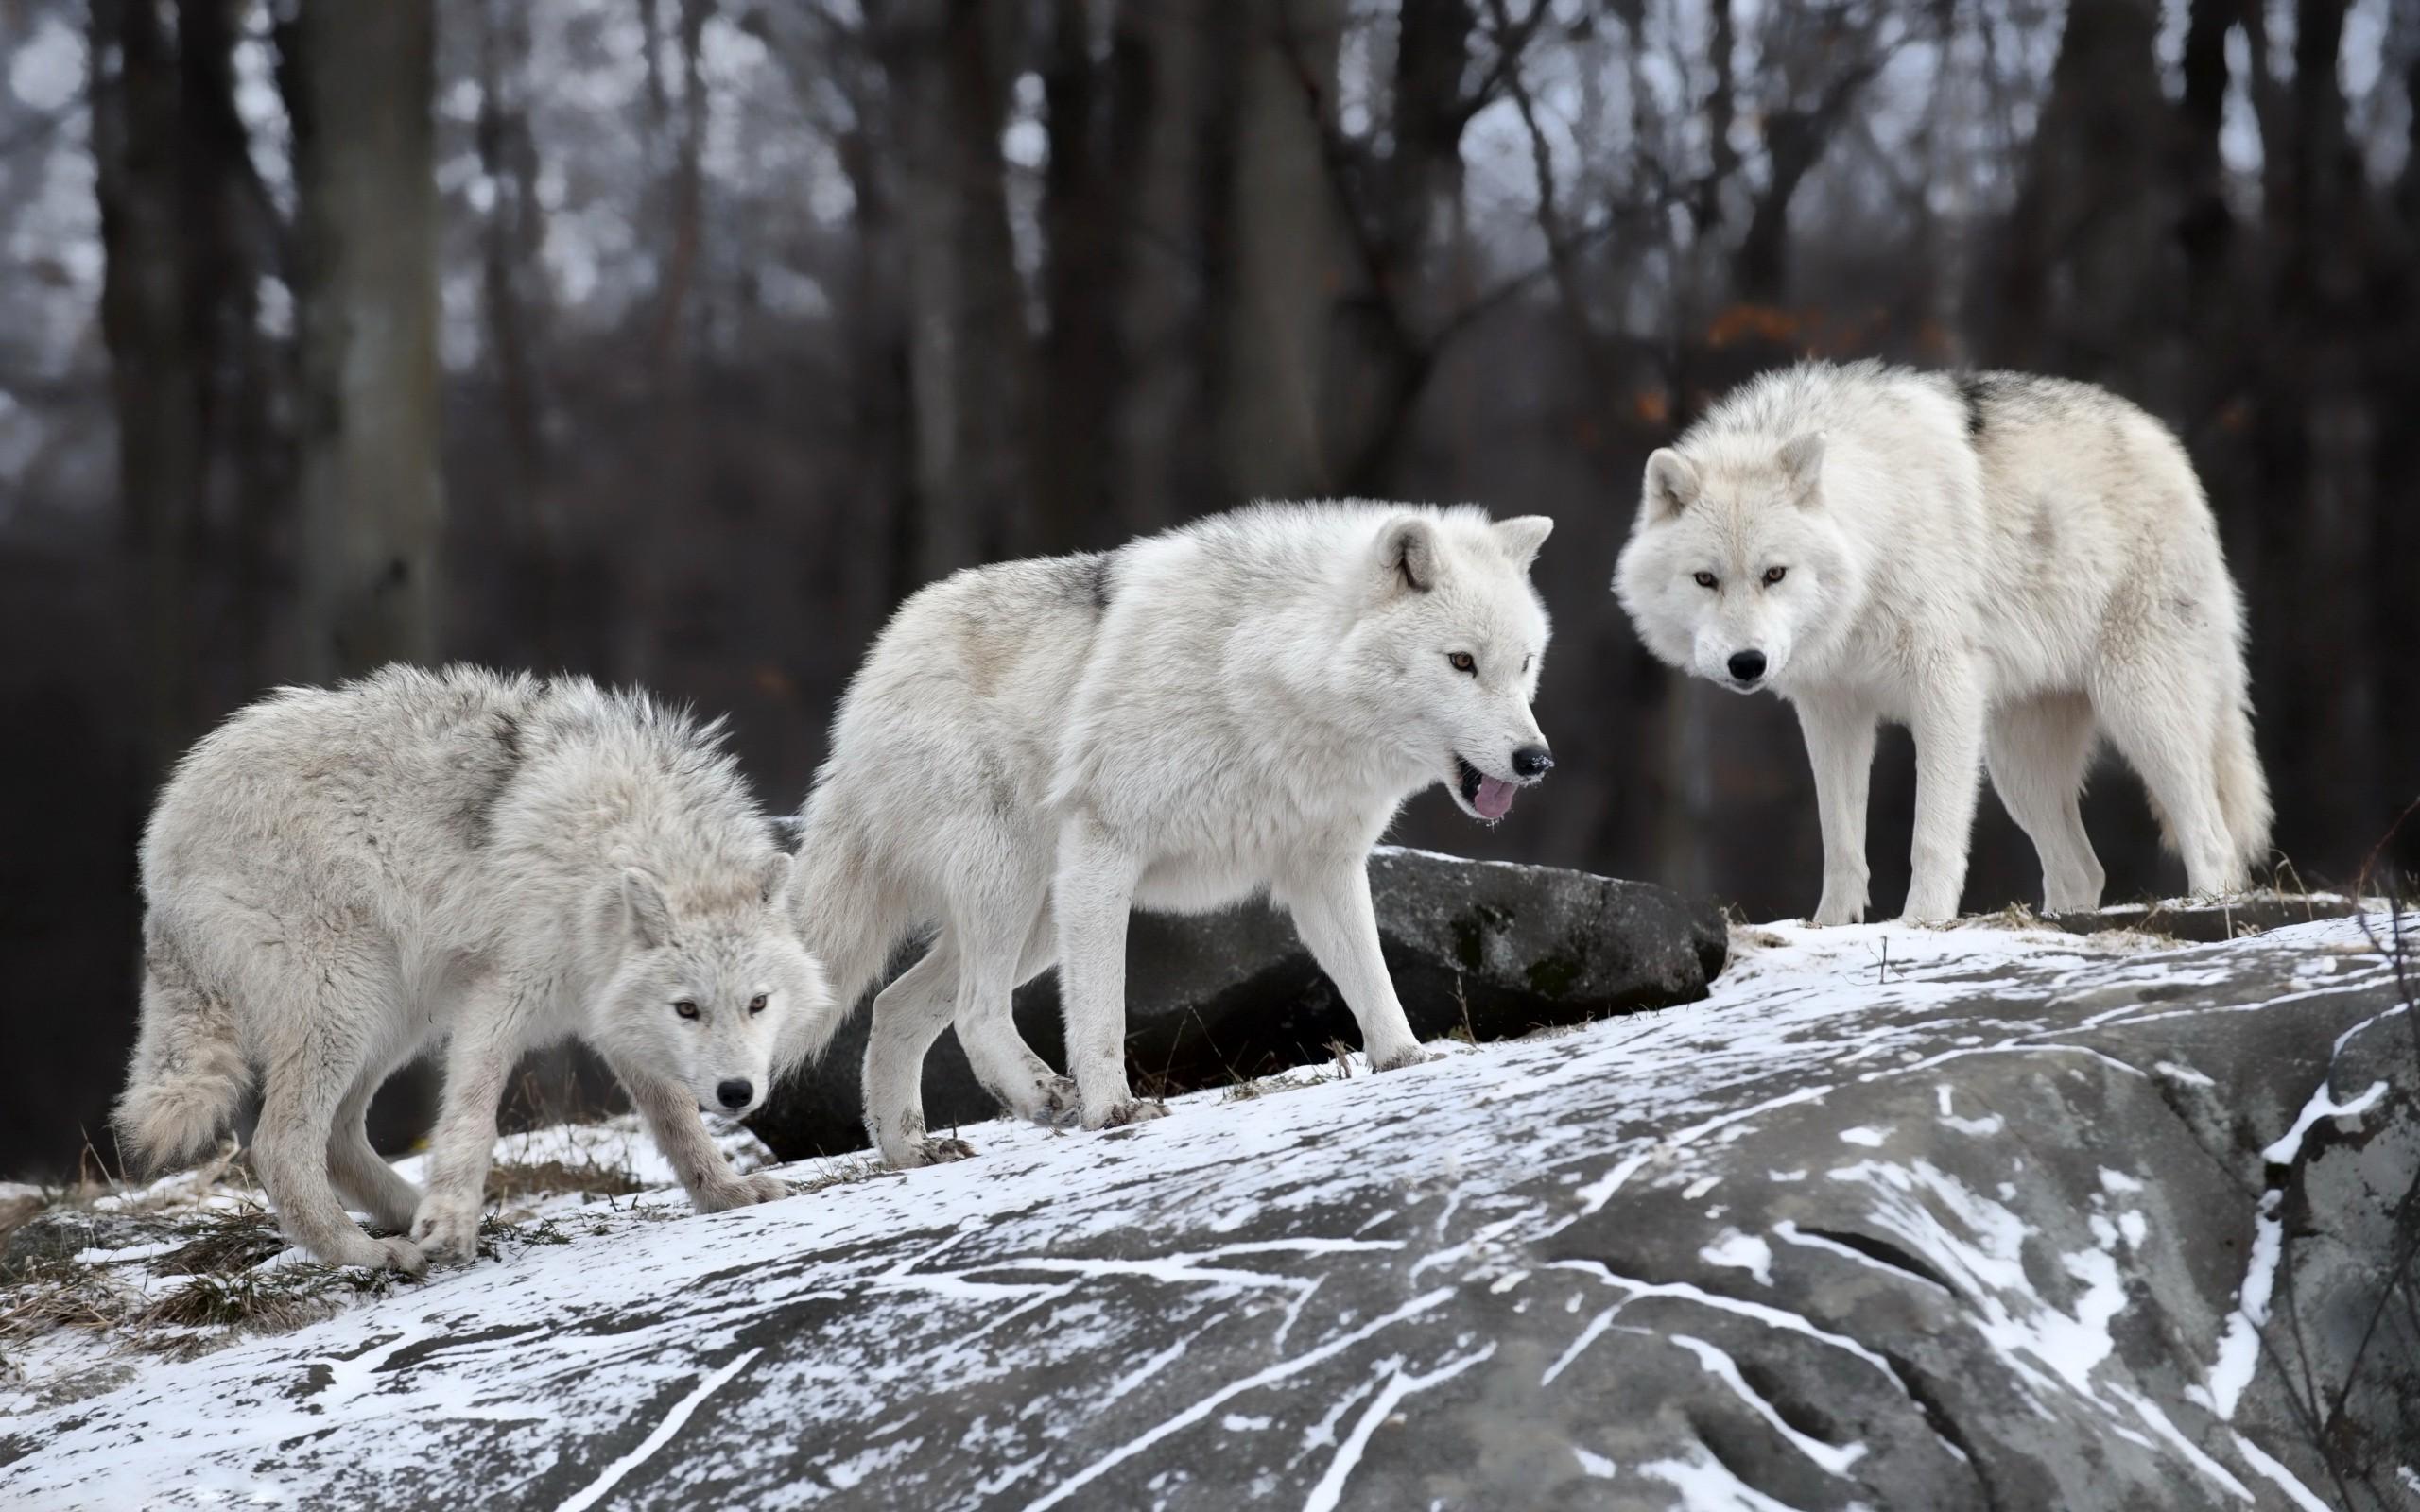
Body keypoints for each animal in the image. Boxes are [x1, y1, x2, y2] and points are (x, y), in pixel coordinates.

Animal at [115, 665, 833, 1271]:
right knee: (280, 1148)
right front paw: (451, 1221)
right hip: (350, 1004)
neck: (607, 845)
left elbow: (676, 1118)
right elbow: (472, 1116)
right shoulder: (500, 995)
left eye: (758, 1004)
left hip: (395, 1016)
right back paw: (368, 1252)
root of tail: (163, 829)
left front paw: (724, 1192)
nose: (737, 1093)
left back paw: (415, 1218)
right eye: (688, 1009)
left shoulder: (608, 1011)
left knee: (339, 1139)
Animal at [788, 503, 1556, 1167]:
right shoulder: (1106, 849)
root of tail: (876, 666)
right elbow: (1102, 1013)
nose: (1536, 760)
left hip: (1040, 917)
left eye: (1523, 664)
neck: (1267, 675)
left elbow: (1372, 979)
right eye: (1462, 662)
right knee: (976, 1012)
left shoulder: (1322, 870)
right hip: (1014, 885)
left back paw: (910, 1151)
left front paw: (1405, 1062)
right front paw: (1113, 1112)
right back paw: (1042, 1098)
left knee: (893, 1005)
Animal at [1614, 360, 2269, 924]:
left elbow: (1930, 835)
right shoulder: (1832, 711)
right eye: (1706, 579)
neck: (1874, 536)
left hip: (2139, 711)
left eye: (1774, 573)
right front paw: (1831, 927)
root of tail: (2167, 445)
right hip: (2018, 766)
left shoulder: (1944, 691)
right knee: (2083, 870)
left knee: (2213, 838)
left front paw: (1921, 922)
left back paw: (2207, 907)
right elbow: (1841, 842)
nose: (1747, 664)